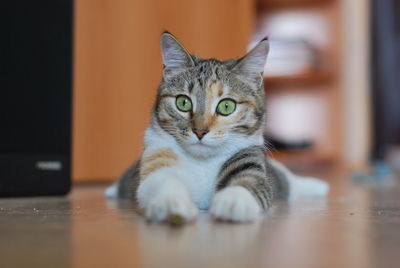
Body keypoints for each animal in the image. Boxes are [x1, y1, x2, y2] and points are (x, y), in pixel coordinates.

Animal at [106, 32, 328, 223]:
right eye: (183, 103)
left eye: (226, 106)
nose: (200, 131)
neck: (202, 161)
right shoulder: (157, 159)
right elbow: (162, 181)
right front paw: (170, 203)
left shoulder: (249, 158)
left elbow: (249, 182)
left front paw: (234, 201)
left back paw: (318, 185)